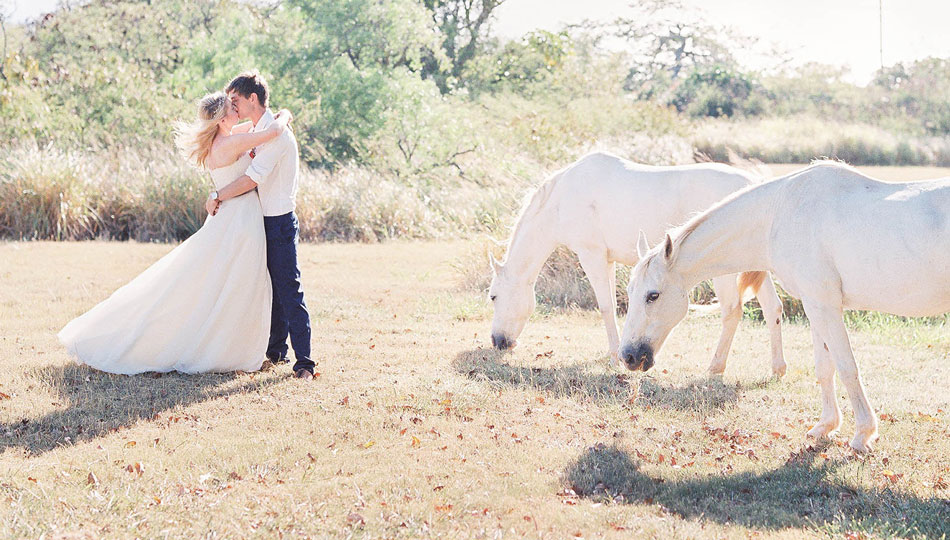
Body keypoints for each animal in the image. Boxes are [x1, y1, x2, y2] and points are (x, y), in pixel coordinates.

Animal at [490, 152, 788, 376]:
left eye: (493, 296)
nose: (498, 342)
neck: (561, 199)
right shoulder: (607, 259)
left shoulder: (592, 255)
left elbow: (606, 306)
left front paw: (613, 357)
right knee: (772, 307)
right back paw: (777, 368)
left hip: (724, 271)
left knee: (731, 311)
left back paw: (715, 367)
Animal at [620, 162, 950, 454]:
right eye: (630, 292)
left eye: (652, 295)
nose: (628, 356)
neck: (779, 215)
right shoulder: (816, 305)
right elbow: (825, 368)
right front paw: (826, 426)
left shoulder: (824, 306)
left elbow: (847, 368)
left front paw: (862, 436)